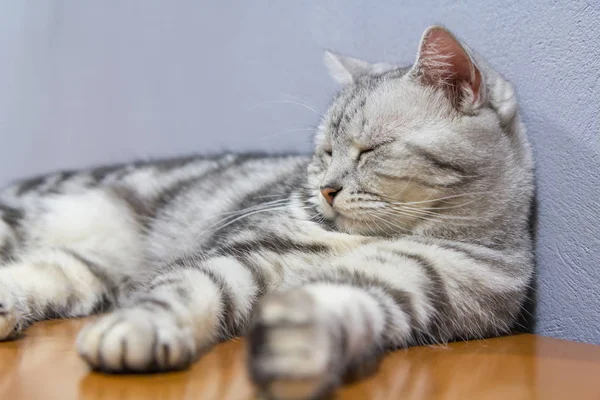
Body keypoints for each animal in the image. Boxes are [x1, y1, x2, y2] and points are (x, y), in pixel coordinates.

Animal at [0, 26, 536, 398]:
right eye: (324, 152)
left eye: (370, 150)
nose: (326, 189)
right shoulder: (246, 253)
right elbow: (185, 290)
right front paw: (139, 330)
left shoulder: (402, 286)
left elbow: (337, 310)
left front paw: (296, 349)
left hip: (85, 272)